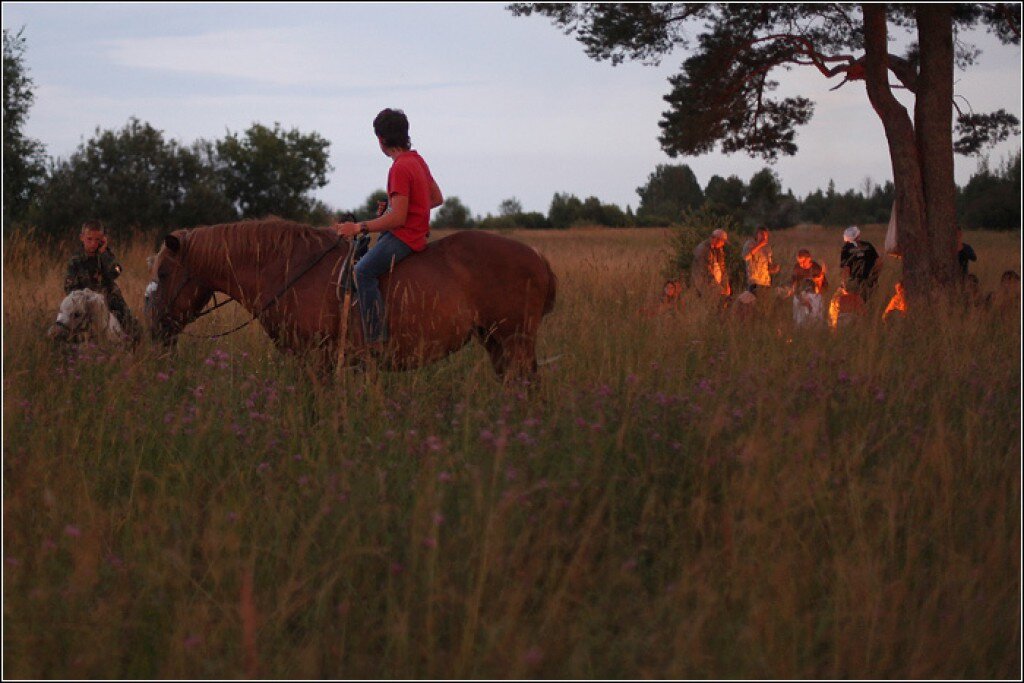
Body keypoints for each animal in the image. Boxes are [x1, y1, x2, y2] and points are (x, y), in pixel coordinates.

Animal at [146, 219, 552, 378]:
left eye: (163, 274)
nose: (154, 331)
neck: (289, 269)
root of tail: (536, 255)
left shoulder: (318, 359)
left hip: (514, 340)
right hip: (495, 341)